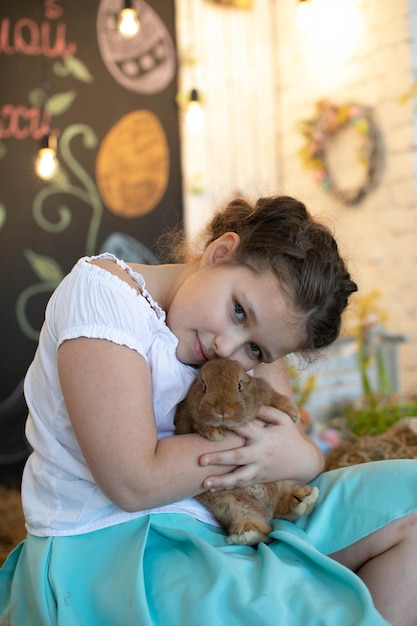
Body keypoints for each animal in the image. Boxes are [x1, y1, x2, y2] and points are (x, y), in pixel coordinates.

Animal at [174, 358, 316, 544]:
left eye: (239, 385)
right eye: (204, 386)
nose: (222, 411)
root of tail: (267, 508)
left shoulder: (264, 390)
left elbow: (275, 397)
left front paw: (293, 413)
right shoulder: (184, 420)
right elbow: (194, 424)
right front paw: (213, 432)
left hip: (283, 478)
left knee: (281, 505)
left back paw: (303, 498)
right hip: (230, 504)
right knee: (258, 525)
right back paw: (246, 533)